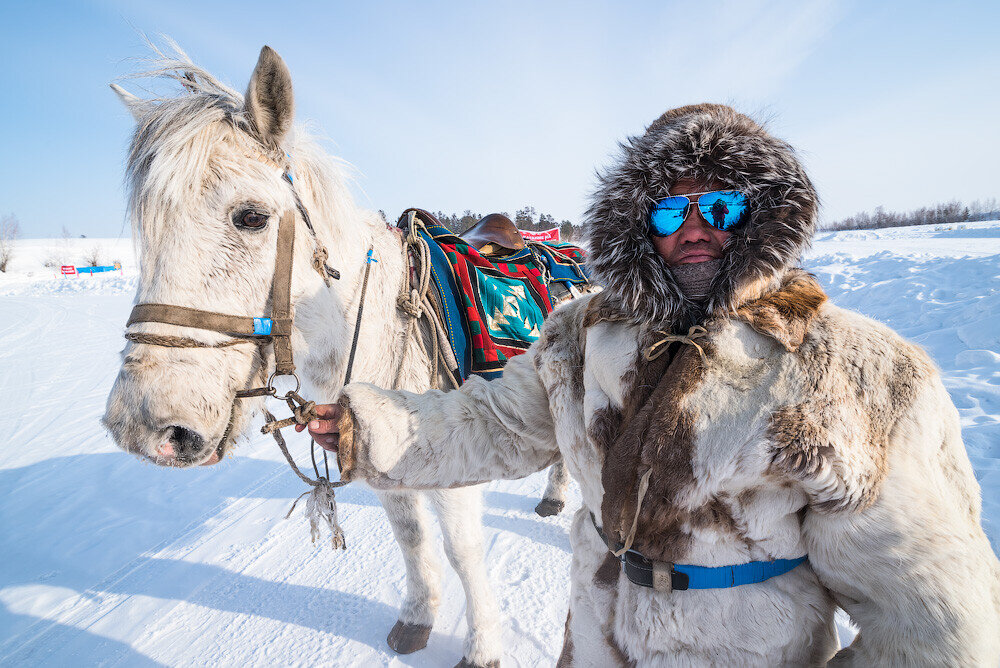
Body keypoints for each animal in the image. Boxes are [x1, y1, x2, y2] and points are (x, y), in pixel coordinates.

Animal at [101, 44, 572, 664]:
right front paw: (417, 618)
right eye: (144, 230)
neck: (377, 330)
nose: (145, 424)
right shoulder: (380, 447)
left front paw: (482, 646)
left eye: (251, 216)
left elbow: (463, 551)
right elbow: (410, 536)